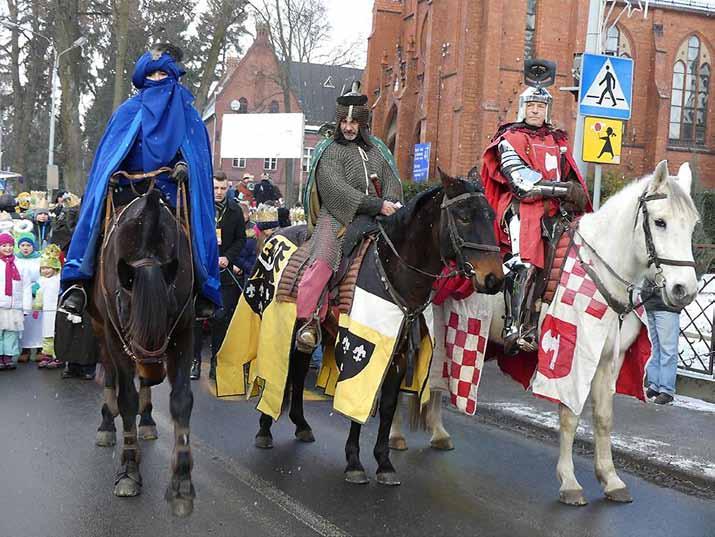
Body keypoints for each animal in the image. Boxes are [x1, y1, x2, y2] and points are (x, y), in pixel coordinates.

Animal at [89, 181, 199, 516]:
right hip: (101, 331)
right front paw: (128, 470)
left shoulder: (183, 332)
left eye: (170, 309)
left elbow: (181, 401)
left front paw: (182, 481)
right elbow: (126, 398)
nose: (151, 368)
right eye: (126, 310)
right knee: (110, 375)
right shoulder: (114, 333)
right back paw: (107, 423)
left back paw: (148, 419)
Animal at [255, 170, 506, 484]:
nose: (494, 279)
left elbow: (387, 407)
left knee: (299, 370)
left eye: (491, 215)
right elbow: (359, 399)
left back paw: (301, 425)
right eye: (463, 217)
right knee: (279, 367)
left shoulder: (398, 355)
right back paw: (265, 428)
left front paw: (384, 463)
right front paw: (354, 462)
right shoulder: (360, 346)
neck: (393, 269)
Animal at [386, 161, 700, 504]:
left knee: (439, 379)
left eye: (693, 225)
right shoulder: (569, 355)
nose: (684, 290)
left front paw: (611, 479)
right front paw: (570, 482)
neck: (600, 267)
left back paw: (439, 433)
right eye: (660, 222)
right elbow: (569, 417)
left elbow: (604, 419)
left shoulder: (608, 361)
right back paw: (395, 435)